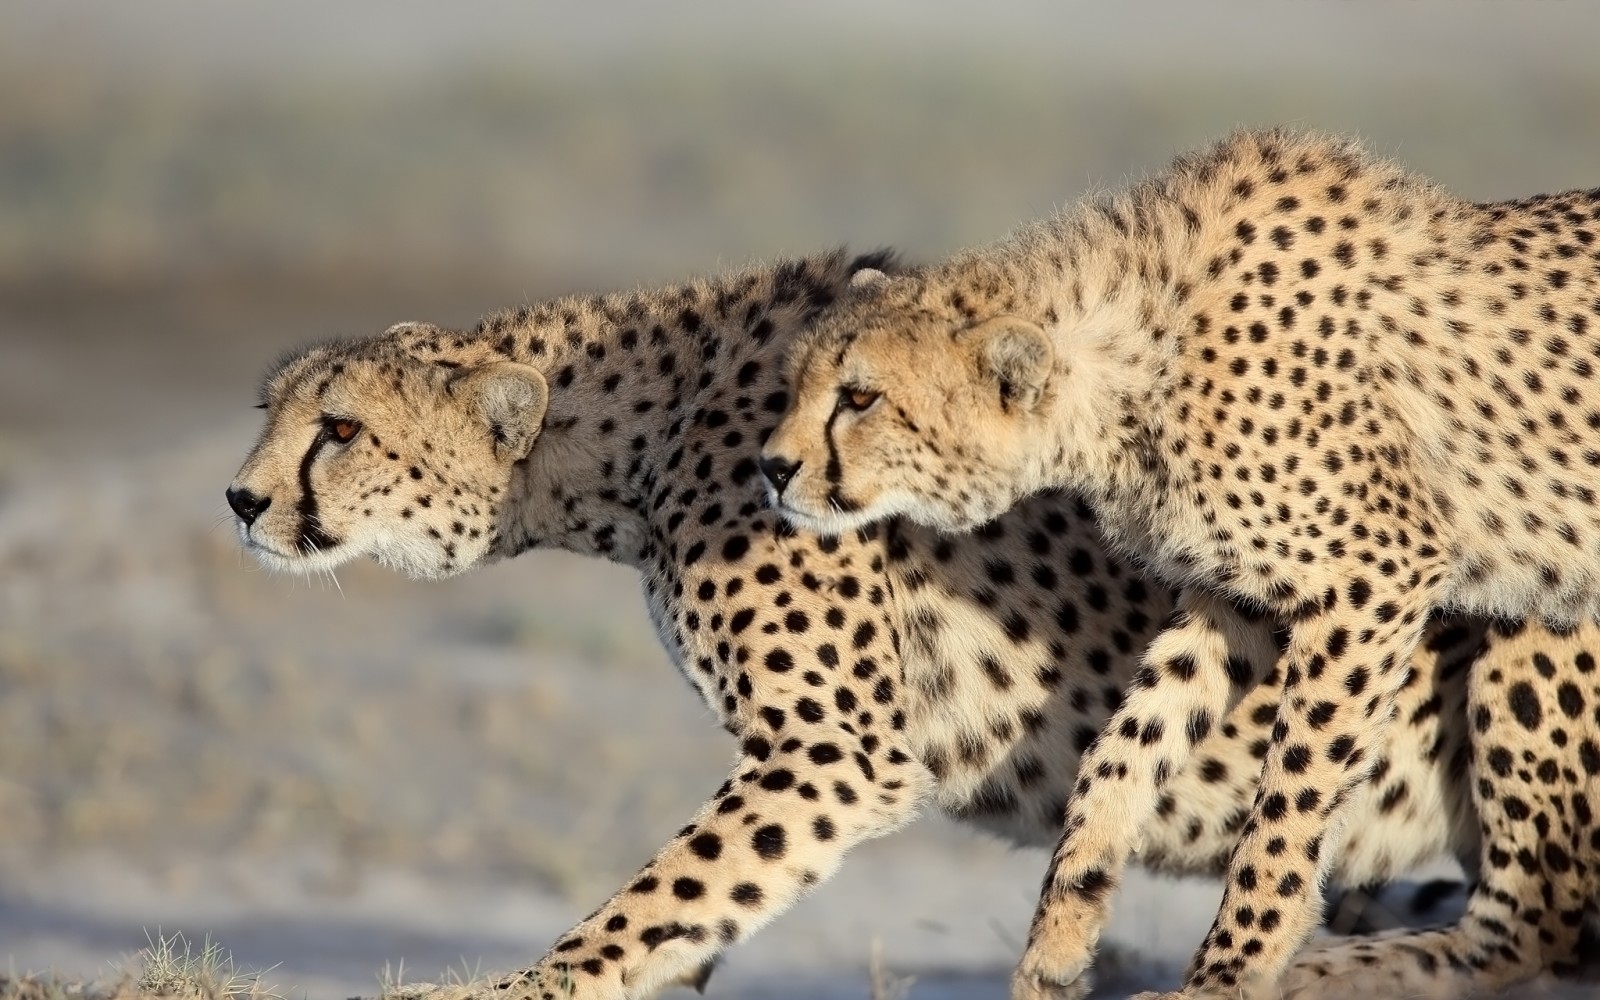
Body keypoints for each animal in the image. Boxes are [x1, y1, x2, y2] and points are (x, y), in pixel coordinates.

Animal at [228, 243, 1600, 998]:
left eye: (338, 428)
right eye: (272, 411)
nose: (238, 500)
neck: (633, 432)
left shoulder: (831, 752)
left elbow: (657, 895)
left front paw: (513, 986)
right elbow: (694, 906)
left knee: (1533, 920)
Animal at [761, 128, 1600, 992]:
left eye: (860, 398)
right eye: (794, 384)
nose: (773, 468)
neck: (1137, 356)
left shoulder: (1375, 581)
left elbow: (1289, 798)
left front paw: (1228, 971)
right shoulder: (1238, 599)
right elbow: (1123, 746)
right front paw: (1061, 934)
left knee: (1531, 922)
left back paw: (1337, 968)